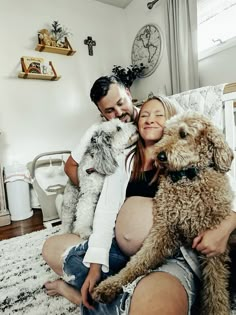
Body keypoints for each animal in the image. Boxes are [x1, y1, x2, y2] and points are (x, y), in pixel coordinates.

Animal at [92, 112, 234, 314]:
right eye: (165, 133)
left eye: (183, 134)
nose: (160, 156)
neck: (186, 178)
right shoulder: (163, 229)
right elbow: (138, 261)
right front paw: (109, 285)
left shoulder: (213, 246)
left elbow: (216, 288)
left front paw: (217, 310)